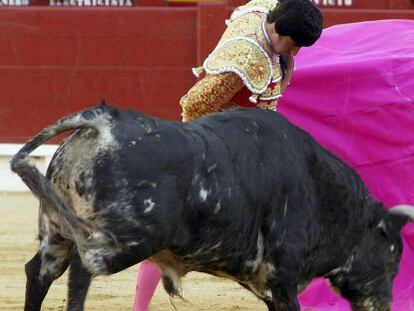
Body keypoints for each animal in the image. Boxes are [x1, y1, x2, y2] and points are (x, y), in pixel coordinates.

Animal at [10, 104, 414, 311]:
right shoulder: (282, 276)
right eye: (392, 256)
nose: (385, 304)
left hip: (57, 232)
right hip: (127, 239)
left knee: (40, 271)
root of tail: (101, 121)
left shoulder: (267, 283)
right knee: (85, 266)